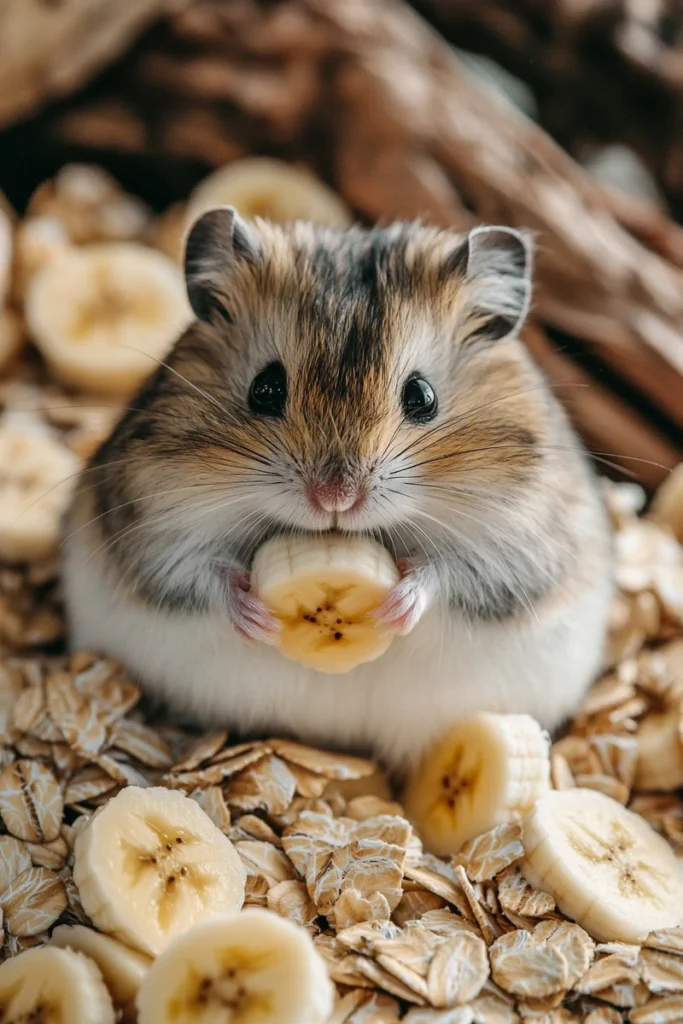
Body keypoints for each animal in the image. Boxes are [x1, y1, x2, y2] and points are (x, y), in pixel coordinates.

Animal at [62, 208, 613, 770]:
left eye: (422, 397)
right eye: (264, 388)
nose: (335, 499)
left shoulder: (519, 549)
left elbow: (449, 574)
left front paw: (393, 607)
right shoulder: (151, 528)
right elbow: (200, 574)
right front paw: (258, 618)